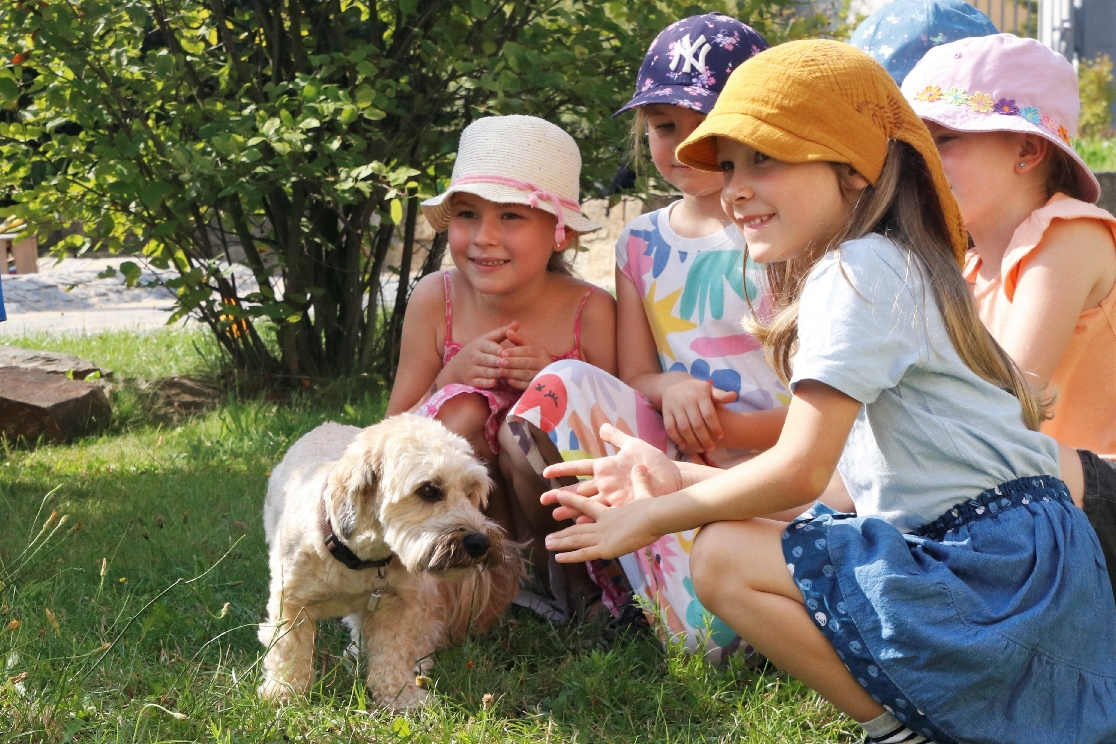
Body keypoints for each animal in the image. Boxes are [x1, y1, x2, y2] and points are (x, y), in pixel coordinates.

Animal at [260, 412, 522, 709]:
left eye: (471, 491)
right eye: (429, 490)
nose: (480, 543)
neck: (360, 557)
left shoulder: (398, 604)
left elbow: (392, 654)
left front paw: (400, 696)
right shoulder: (290, 603)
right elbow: (288, 649)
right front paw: (283, 691)